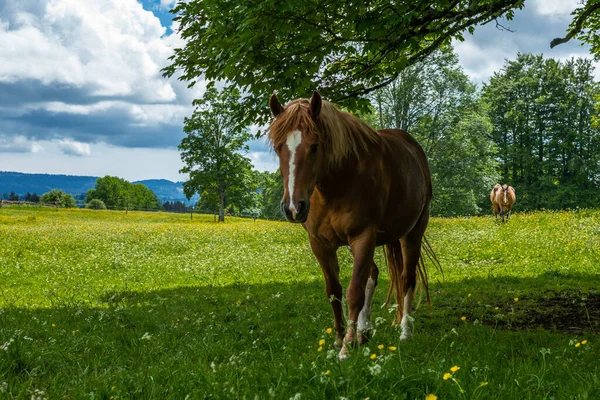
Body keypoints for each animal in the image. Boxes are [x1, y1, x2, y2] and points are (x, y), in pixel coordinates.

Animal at [270, 91, 438, 360]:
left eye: (314, 146)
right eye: (278, 148)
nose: (294, 207)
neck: (338, 182)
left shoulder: (363, 237)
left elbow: (354, 291)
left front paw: (346, 347)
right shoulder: (320, 244)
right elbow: (334, 291)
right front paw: (340, 339)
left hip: (412, 233)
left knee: (406, 279)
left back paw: (404, 331)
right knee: (373, 274)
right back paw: (364, 330)